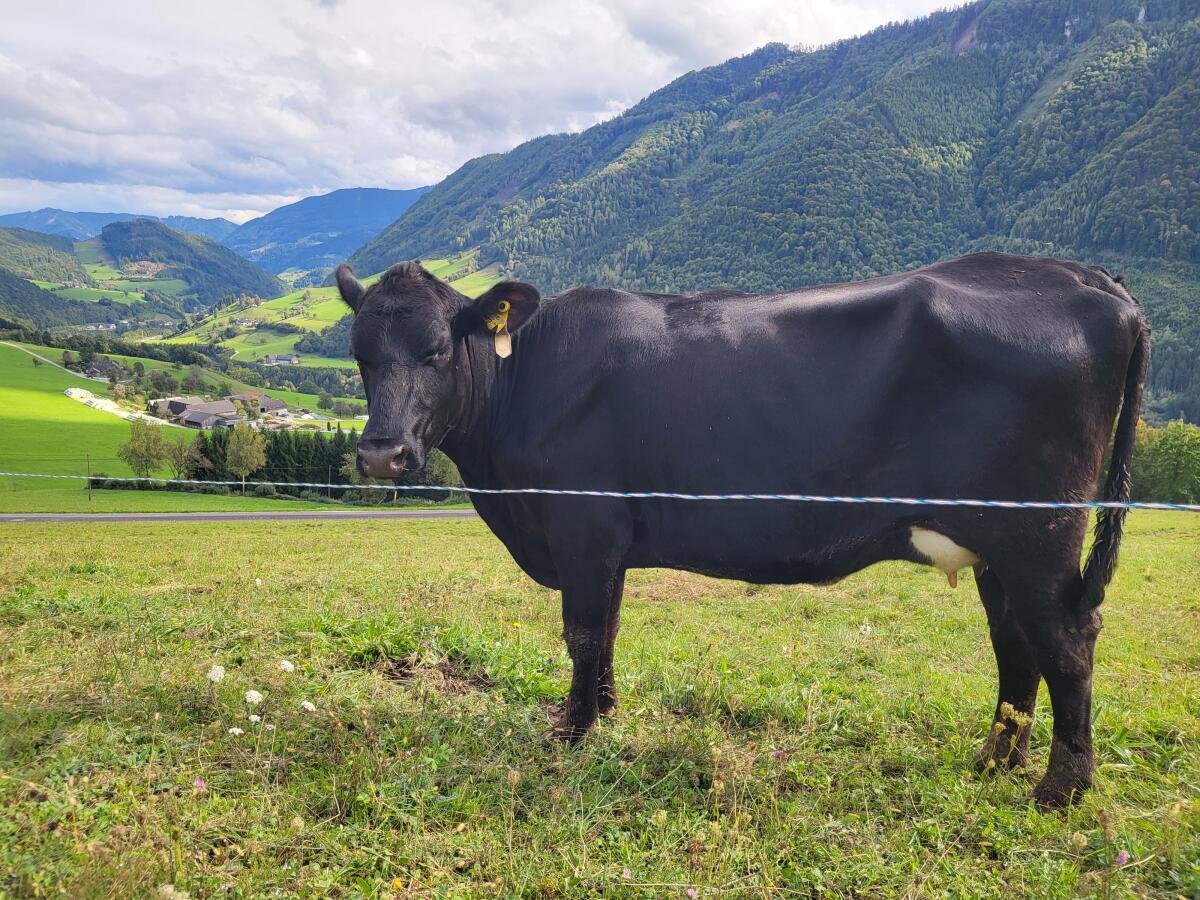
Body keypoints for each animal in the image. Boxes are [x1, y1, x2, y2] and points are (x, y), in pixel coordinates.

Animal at [336, 251, 1148, 809]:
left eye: (438, 350)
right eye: (360, 357)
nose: (380, 454)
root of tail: (1085, 277)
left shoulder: (583, 525)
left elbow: (582, 633)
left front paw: (571, 732)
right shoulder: (611, 541)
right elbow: (609, 629)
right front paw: (605, 713)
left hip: (1039, 535)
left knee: (1066, 643)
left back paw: (1060, 788)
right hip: (995, 545)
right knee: (1017, 645)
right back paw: (995, 761)